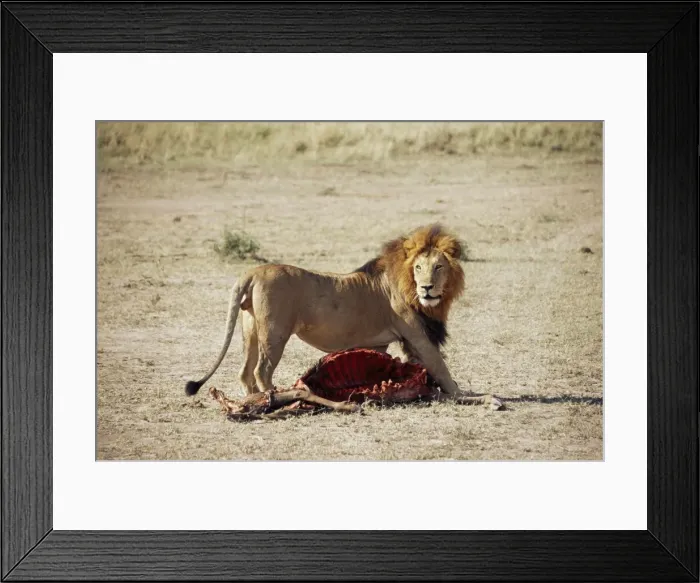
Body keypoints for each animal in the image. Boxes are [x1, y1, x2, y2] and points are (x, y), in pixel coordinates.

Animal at [185, 224, 502, 409]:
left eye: (438, 267)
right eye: (419, 268)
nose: (427, 287)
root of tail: (252, 271)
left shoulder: (385, 343)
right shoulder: (418, 336)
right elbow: (445, 374)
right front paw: (486, 398)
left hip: (250, 329)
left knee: (244, 371)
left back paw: (254, 399)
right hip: (275, 332)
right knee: (261, 370)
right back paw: (274, 398)